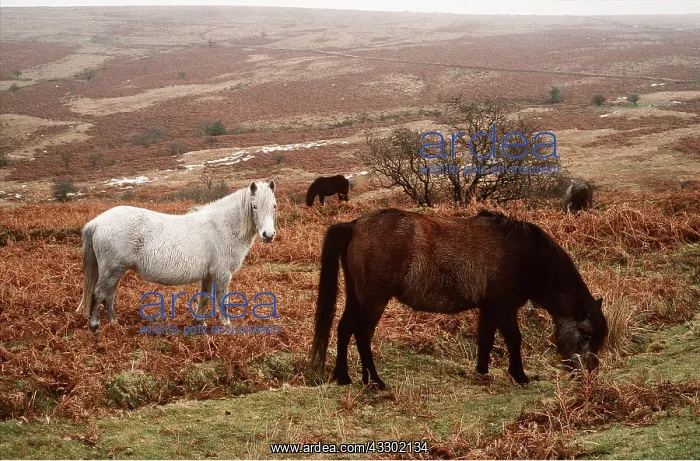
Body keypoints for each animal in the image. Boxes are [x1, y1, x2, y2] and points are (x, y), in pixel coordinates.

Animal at [76, 180, 277, 331]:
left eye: (274, 205)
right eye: (254, 206)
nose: (268, 235)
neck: (221, 226)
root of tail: (97, 222)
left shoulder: (208, 275)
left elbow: (204, 297)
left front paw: (199, 322)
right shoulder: (222, 274)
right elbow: (221, 297)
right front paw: (226, 324)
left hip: (115, 272)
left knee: (109, 295)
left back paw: (114, 322)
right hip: (113, 270)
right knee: (100, 293)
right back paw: (95, 325)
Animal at [310, 208, 607, 389]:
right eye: (586, 333)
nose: (588, 374)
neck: (525, 254)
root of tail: (355, 225)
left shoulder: (489, 307)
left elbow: (486, 338)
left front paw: (482, 371)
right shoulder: (504, 306)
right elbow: (514, 339)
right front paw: (519, 376)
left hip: (356, 296)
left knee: (344, 329)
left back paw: (345, 376)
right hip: (374, 300)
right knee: (362, 334)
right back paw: (375, 381)